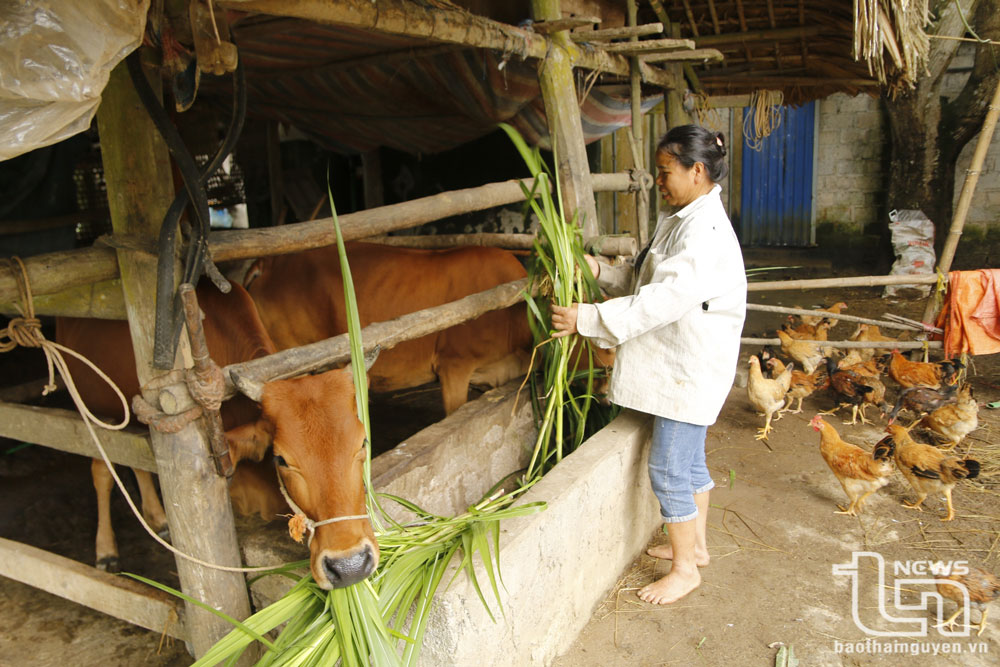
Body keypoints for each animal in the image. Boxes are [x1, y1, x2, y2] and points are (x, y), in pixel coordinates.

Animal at [59, 282, 378, 588]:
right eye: (281, 460)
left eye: (363, 442)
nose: (349, 567)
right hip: (96, 412)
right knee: (102, 469)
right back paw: (106, 551)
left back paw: (159, 519)